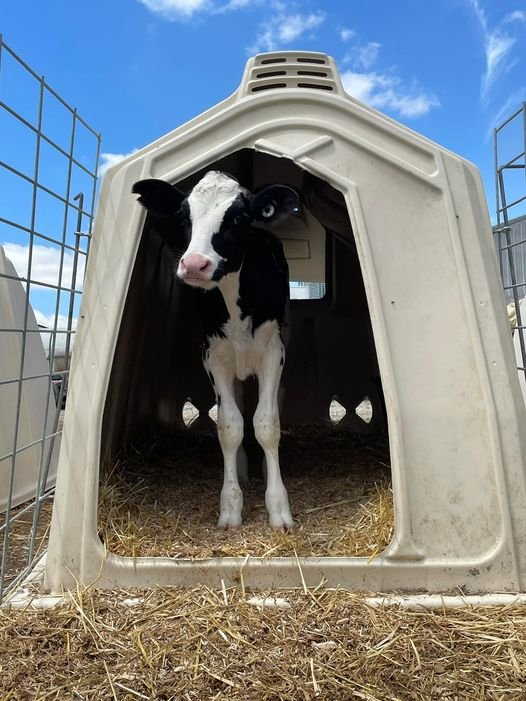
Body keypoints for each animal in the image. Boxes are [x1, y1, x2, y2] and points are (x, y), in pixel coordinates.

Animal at [133, 171, 300, 529]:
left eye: (238, 217)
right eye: (185, 217)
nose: (195, 264)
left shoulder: (272, 351)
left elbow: (267, 423)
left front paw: (279, 508)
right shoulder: (213, 356)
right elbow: (229, 425)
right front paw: (231, 506)